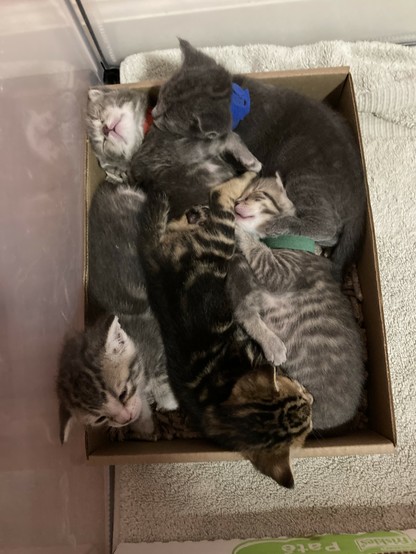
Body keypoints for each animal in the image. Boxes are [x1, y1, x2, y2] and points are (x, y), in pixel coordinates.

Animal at [139, 170, 312, 486]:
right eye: (300, 394)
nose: (311, 396)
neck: (220, 407)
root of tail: (155, 261)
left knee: (174, 223)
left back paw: (191, 214)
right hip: (219, 242)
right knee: (220, 198)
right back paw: (249, 173)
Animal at [151, 38, 366, 278]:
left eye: (168, 117)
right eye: (161, 96)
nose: (153, 113)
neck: (237, 103)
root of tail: (360, 200)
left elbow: (231, 140)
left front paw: (245, 158)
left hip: (305, 177)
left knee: (329, 226)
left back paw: (281, 225)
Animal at [226, 172, 366, 432]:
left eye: (257, 194)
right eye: (241, 196)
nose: (236, 203)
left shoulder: (279, 272)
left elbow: (256, 249)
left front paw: (239, 229)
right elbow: (245, 312)